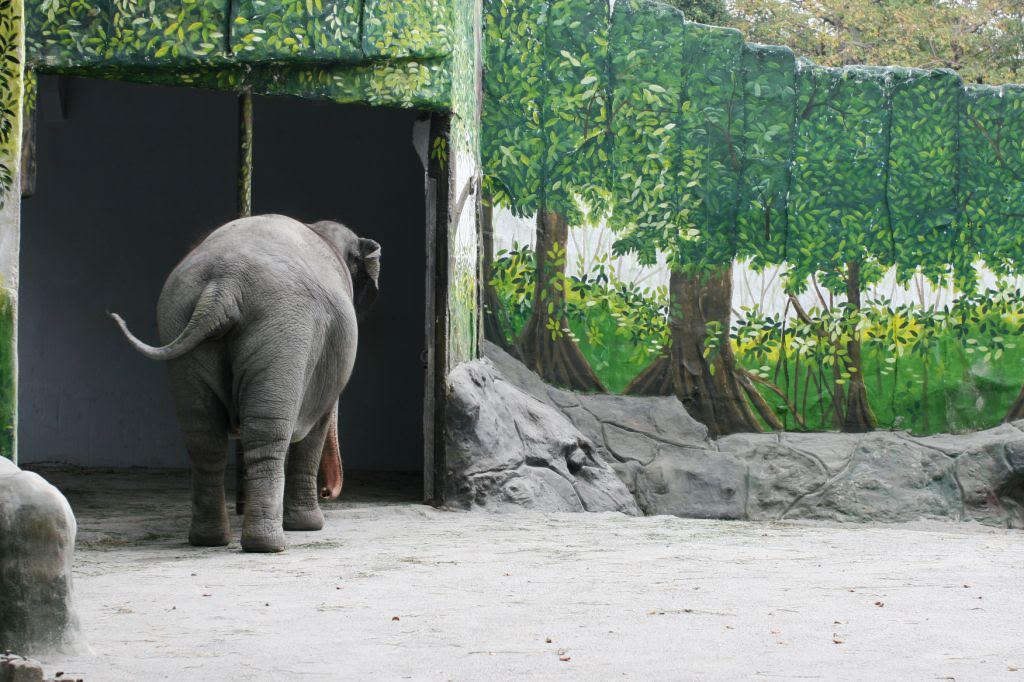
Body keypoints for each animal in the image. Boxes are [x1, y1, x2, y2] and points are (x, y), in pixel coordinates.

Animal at [112, 215, 382, 548]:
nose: (328, 492)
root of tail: (223, 286)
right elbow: (316, 425)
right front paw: (310, 527)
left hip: (180, 322)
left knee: (203, 435)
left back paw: (209, 539)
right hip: (282, 329)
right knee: (267, 432)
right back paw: (267, 545)